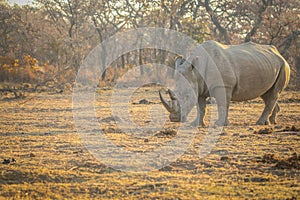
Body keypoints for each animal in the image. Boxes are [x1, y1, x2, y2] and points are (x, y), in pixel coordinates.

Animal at [161, 39, 290, 126]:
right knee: (266, 93)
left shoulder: (223, 85)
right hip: (267, 64)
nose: (174, 119)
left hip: (283, 66)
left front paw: (220, 124)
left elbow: (222, 104)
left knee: (273, 93)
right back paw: (271, 121)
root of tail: (279, 54)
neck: (196, 72)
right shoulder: (199, 87)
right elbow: (201, 107)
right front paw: (196, 124)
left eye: (186, 97)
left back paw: (260, 123)